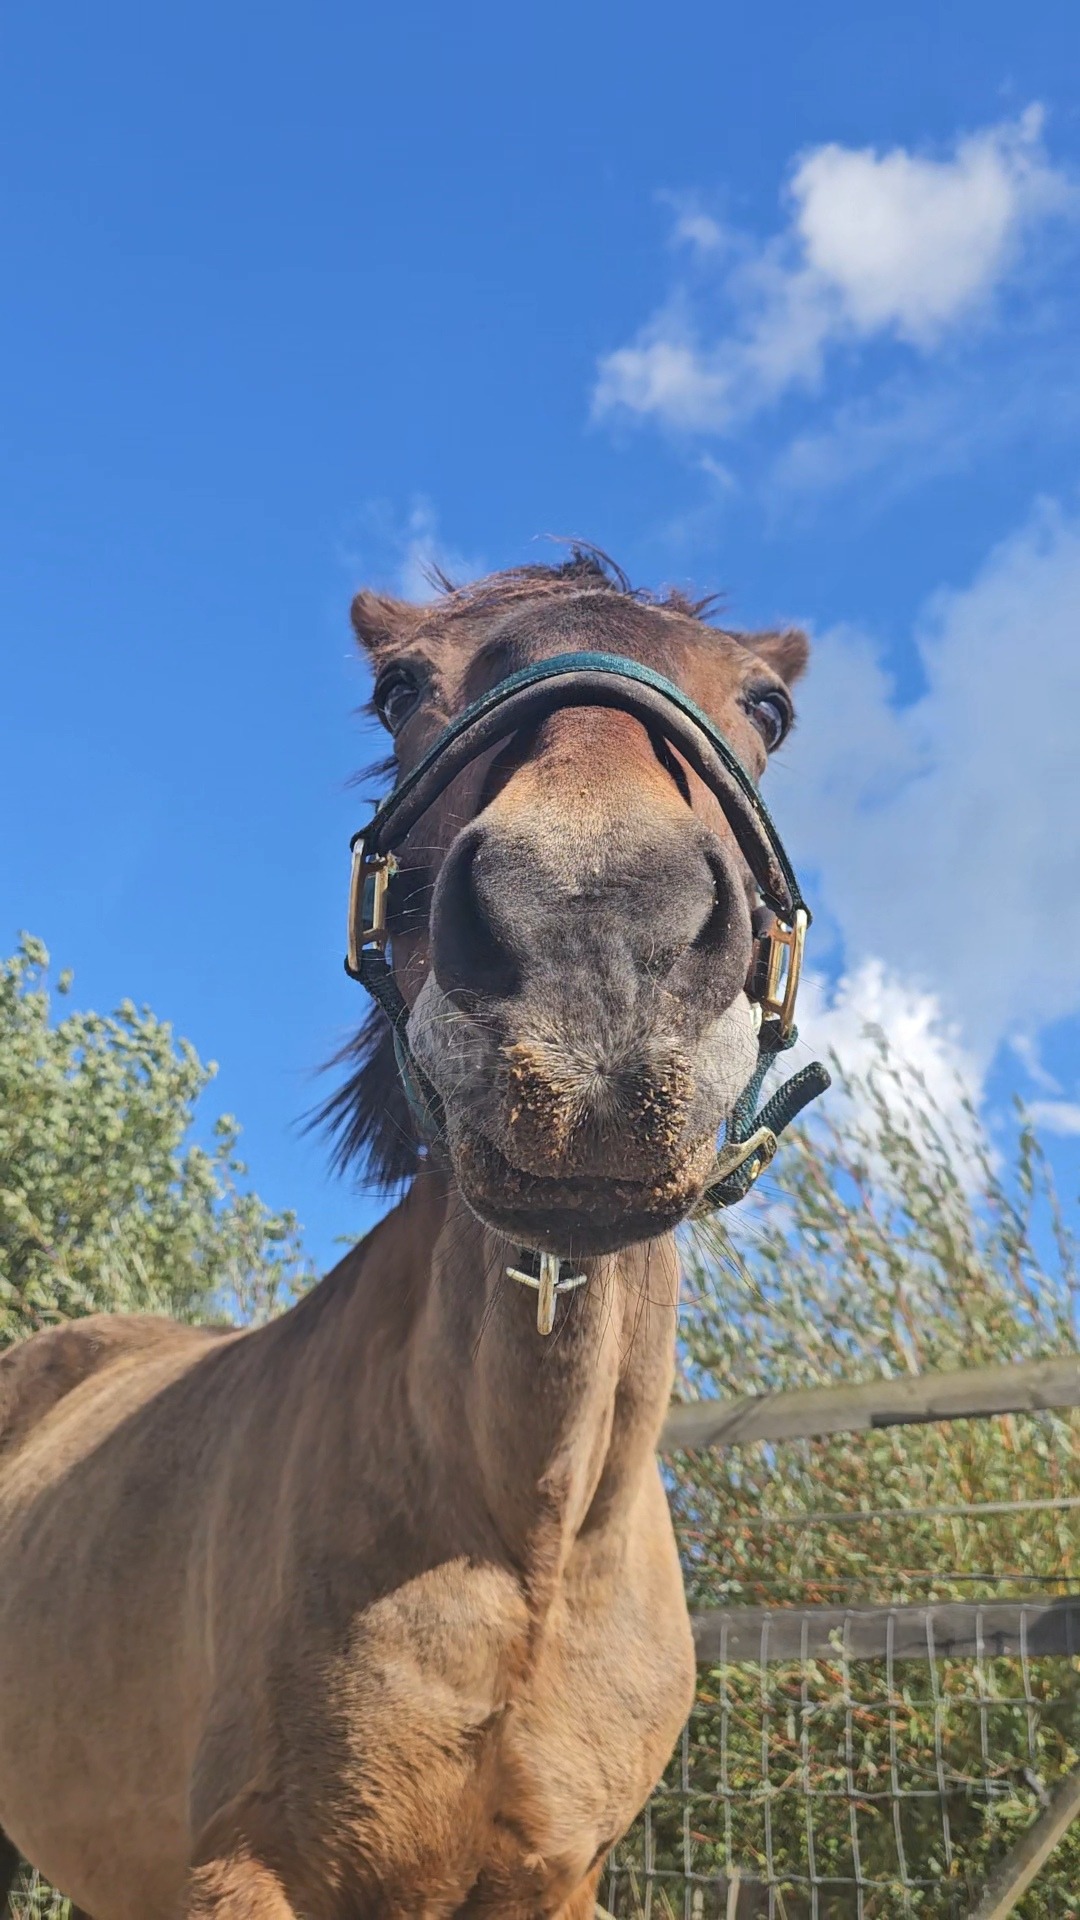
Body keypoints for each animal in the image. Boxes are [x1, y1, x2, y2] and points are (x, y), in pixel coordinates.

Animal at [0, 551, 818, 1918]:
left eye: (770, 709)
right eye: (397, 691)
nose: (593, 933)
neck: (524, 1535)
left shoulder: (555, 1879)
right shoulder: (251, 1871)